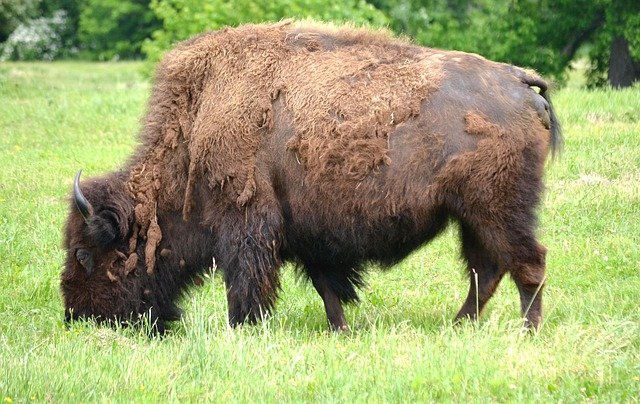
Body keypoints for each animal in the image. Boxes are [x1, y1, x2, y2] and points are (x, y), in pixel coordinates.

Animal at [60, 20, 560, 332]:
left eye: (86, 254)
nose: (77, 317)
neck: (198, 123)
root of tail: (519, 81)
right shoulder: (309, 233)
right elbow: (327, 286)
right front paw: (340, 330)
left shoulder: (246, 223)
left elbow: (247, 282)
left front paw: (241, 328)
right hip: (471, 215)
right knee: (486, 269)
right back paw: (458, 327)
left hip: (496, 207)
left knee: (527, 262)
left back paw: (526, 332)